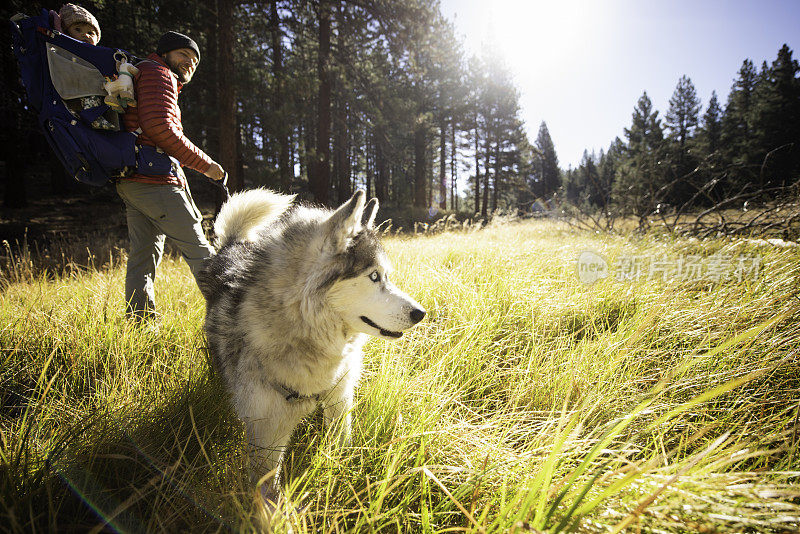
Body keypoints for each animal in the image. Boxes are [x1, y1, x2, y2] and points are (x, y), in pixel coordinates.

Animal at [197, 191, 424, 492]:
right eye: (374, 276)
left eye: (386, 276)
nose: (420, 313)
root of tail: (235, 245)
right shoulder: (267, 427)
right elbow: (266, 487)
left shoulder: (340, 396)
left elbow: (341, 444)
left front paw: (341, 474)